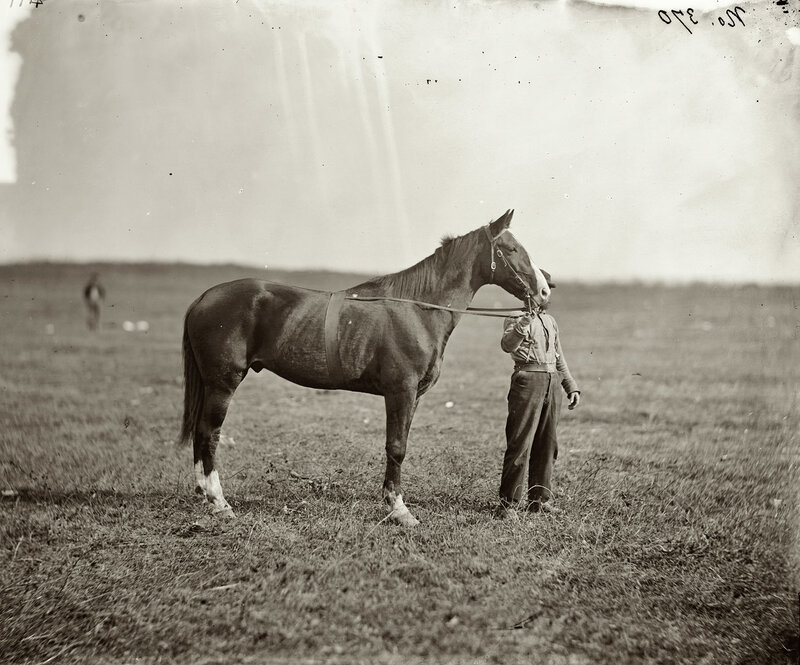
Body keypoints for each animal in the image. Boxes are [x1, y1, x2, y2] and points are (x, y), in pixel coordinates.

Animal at [178, 209, 551, 526]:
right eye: (511, 249)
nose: (546, 289)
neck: (418, 310)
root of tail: (203, 299)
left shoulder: (412, 397)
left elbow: (399, 445)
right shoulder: (400, 391)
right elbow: (396, 447)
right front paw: (399, 510)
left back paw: (206, 496)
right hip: (223, 384)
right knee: (208, 433)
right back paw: (220, 503)